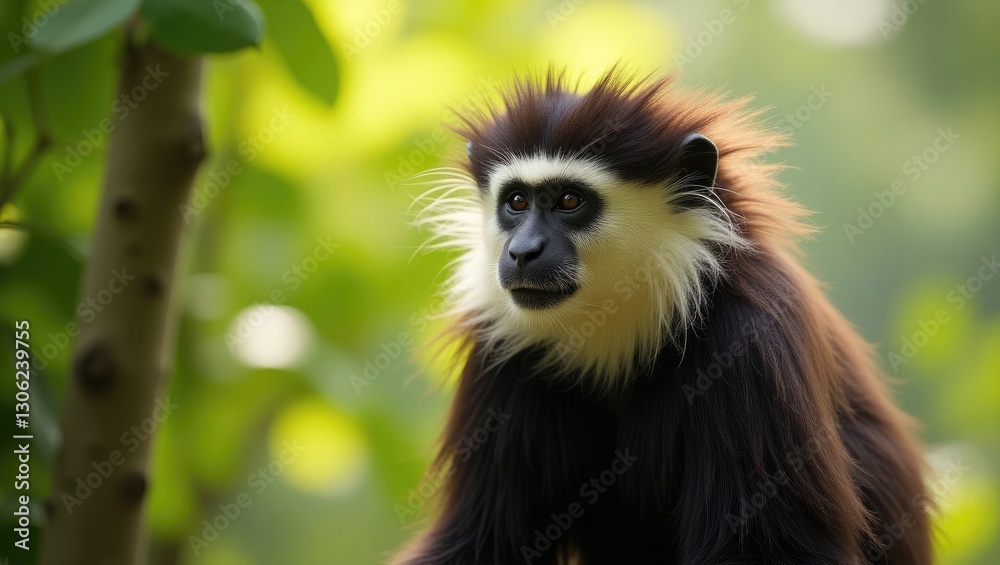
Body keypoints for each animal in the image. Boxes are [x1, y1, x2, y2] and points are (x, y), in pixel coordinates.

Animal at [393, 67, 932, 565]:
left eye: (569, 200)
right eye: (517, 202)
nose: (523, 251)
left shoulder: (750, 340)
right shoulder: (504, 348)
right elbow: (480, 544)